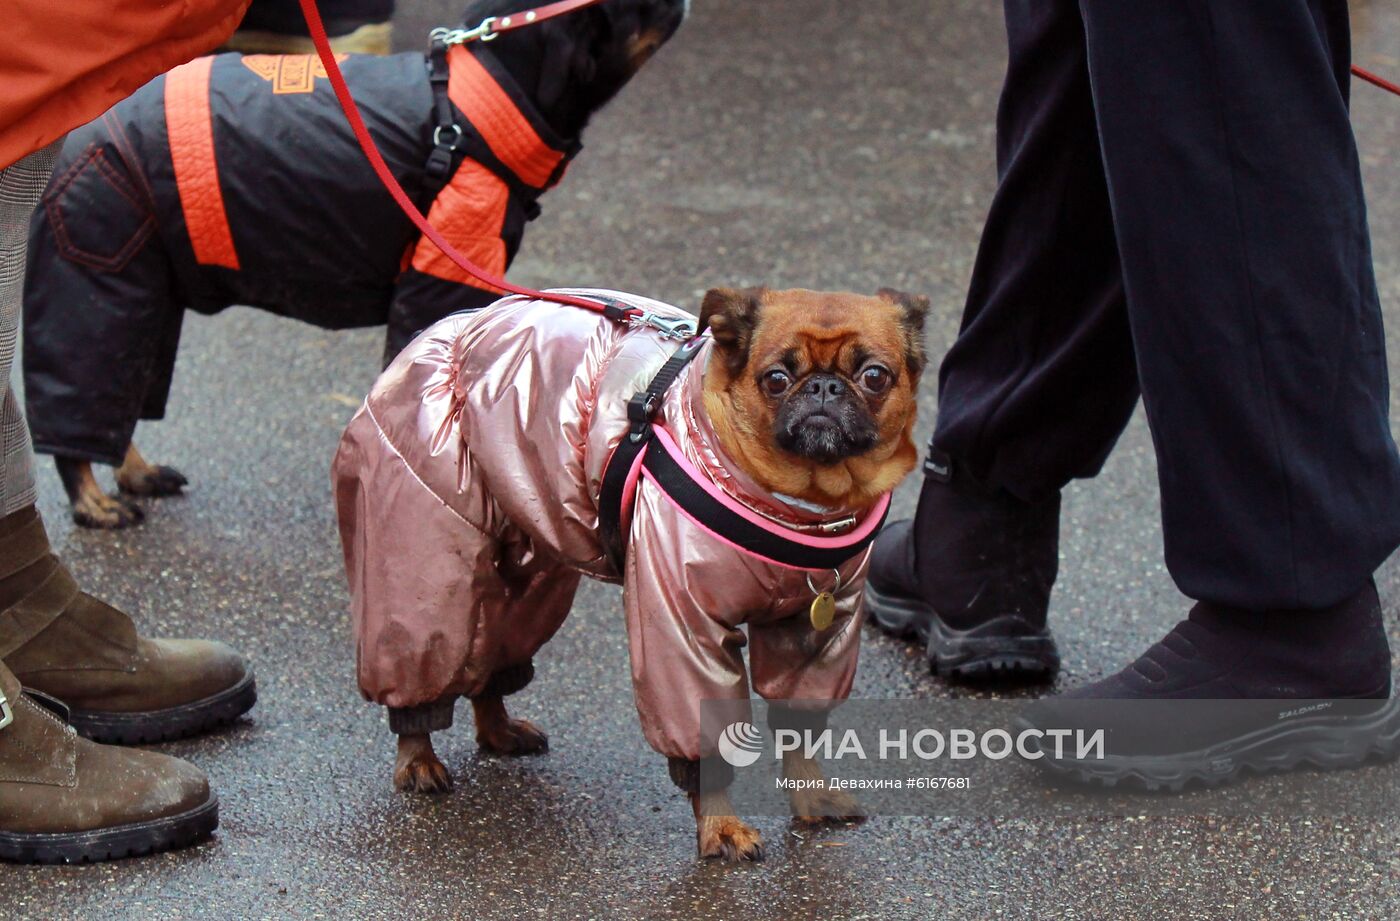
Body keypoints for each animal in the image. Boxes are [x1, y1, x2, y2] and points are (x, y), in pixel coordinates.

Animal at [16, 0, 683, 526]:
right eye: (638, 4)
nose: (680, 0)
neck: (483, 94)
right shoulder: (439, 284)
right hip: (98, 270)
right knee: (81, 402)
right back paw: (93, 502)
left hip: (146, 288)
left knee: (120, 396)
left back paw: (136, 473)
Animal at [331, 282, 929, 856]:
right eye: (777, 378)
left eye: (875, 376)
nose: (824, 388)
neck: (808, 503)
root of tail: (438, 333)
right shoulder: (680, 622)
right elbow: (703, 736)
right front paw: (721, 826)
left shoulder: (818, 627)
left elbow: (802, 727)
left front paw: (812, 795)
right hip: (425, 560)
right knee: (425, 652)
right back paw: (418, 757)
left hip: (527, 561)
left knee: (492, 644)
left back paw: (498, 728)